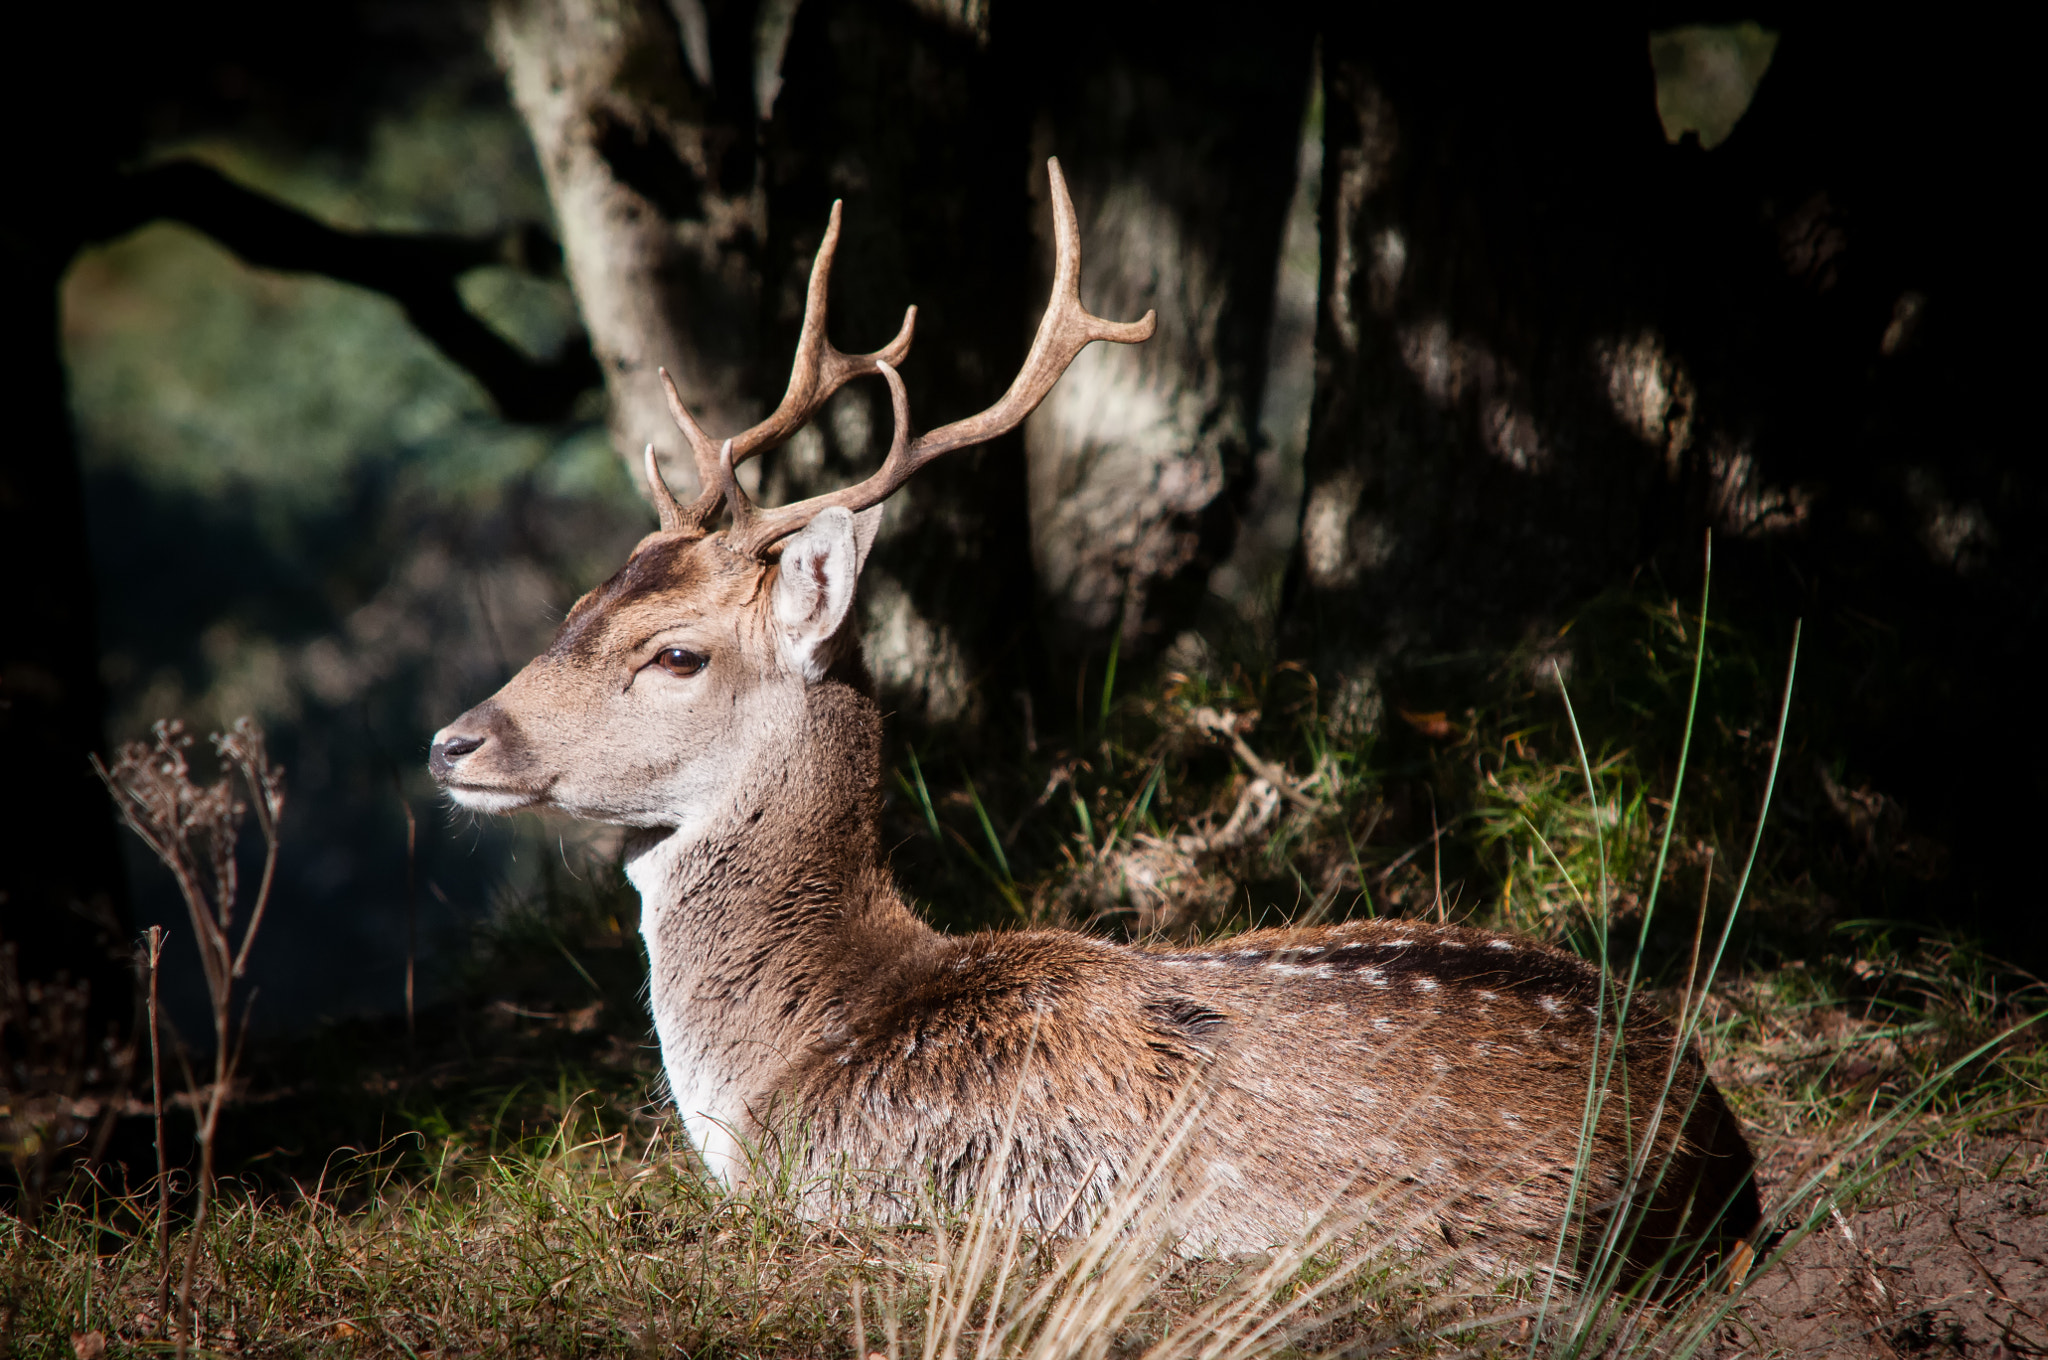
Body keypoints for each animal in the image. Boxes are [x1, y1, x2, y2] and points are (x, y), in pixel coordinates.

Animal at [428, 158, 1760, 1281]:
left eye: (676, 653)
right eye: (575, 604)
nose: (453, 742)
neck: (785, 1072)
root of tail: (1711, 1133)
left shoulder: (886, 1195)